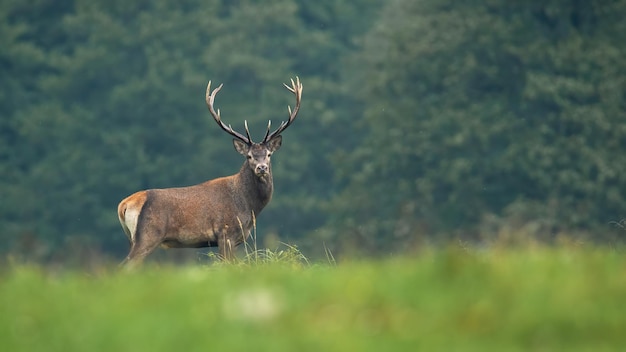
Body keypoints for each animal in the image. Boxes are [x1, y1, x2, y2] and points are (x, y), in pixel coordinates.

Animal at [117, 76, 302, 264]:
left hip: (134, 238)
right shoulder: (226, 232)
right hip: (147, 236)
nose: (262, 167)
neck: (249, 206)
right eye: (249, 156)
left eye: (269, 154)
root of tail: (124, 204)